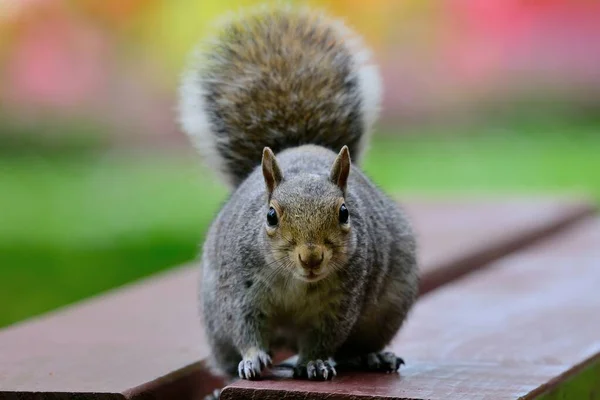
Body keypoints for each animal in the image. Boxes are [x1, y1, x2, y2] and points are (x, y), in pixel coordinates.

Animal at [177, 3, 418, 396]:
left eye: (345, 213)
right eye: (271, 216)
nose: (311, 257)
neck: (296, 281)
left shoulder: (342, 302)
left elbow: (325, 336)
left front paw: (315, 362)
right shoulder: (240, 290)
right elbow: (245, 326)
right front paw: (253, 357)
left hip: (387, 310)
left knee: (353, 347)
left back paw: (371, 356)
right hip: (214, 322)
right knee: (225, 353)